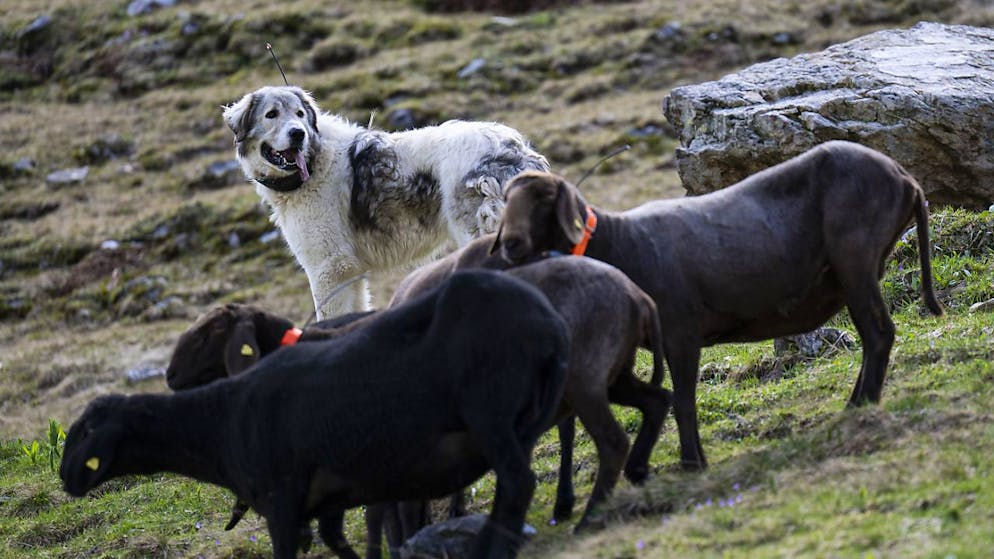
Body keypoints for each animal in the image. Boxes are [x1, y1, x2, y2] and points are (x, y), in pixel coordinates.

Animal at [61, 270, 571, 559]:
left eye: (208, 332)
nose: (167, 376)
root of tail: (549, 322)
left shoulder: (292, 500)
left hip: (489, 413)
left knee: (518, 481)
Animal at [491, 141, 944, 471]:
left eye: (544, 198)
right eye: (506, 200)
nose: (510, 244)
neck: (619, 243)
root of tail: (905, 177)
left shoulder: (680, 332)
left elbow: (684, 401)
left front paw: (692, 463)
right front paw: (695, 460)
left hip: (856, 257)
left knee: (879, 333)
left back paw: (865, 403)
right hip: (856, 270)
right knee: (872, 335)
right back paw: (853, 405)